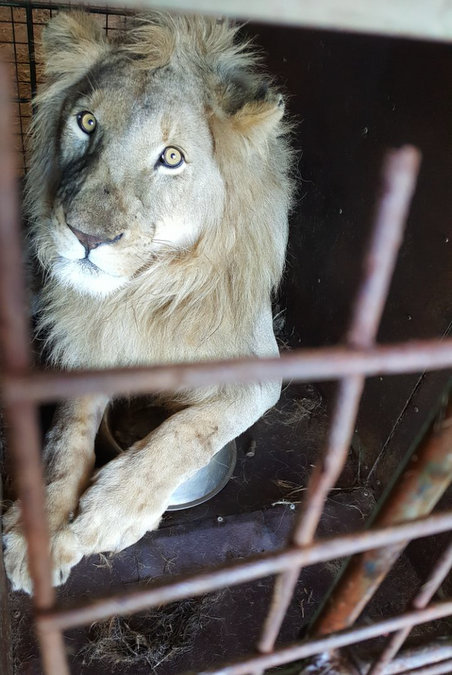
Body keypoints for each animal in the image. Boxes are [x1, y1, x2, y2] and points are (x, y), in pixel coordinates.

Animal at [3, 9, 294, 592]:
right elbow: (66, 435)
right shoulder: (89, 345)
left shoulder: (258, 370)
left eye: (171, 157)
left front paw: (107, 515)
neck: (142, 292)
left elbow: (192, 429)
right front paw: (38, 531)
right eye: (87, 123)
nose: (86, 235)